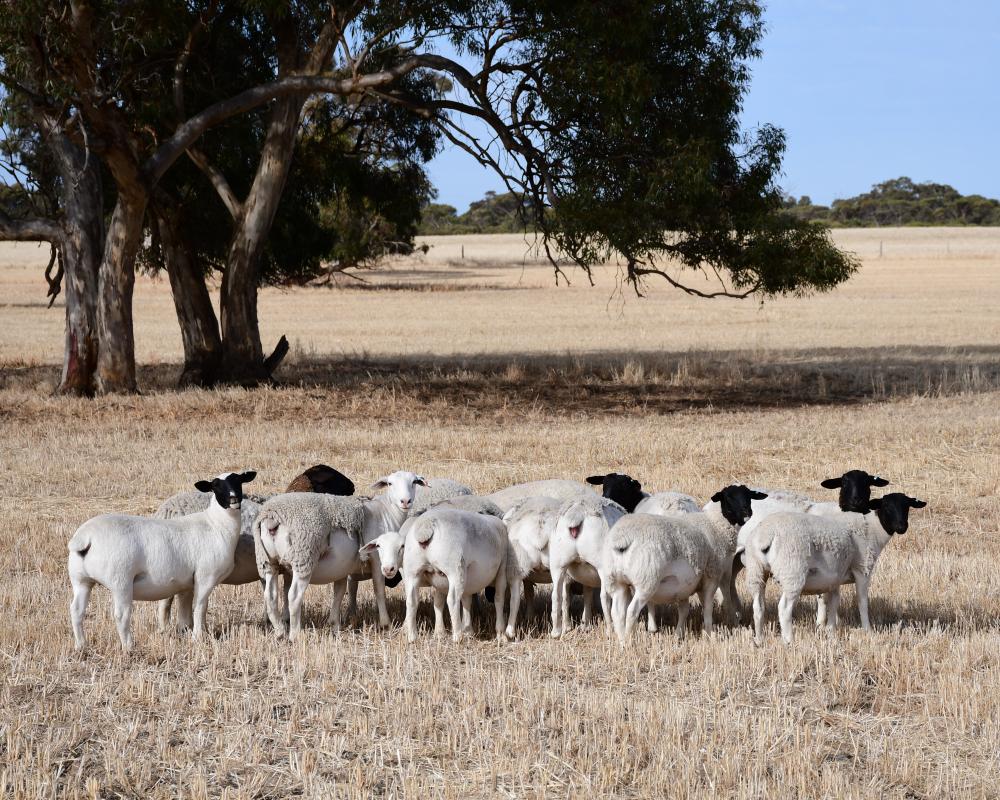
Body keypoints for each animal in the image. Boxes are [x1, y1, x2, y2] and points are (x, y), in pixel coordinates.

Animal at [67, 471, 257, 651]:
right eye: (216, 486)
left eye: (238, 481)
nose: (233, 499)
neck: (216, 524)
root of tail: (85, 538)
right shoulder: (205, 577)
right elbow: (200, 608)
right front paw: (197, 638)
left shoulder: (186, 583)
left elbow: (185, 611)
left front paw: (186, 633)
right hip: (120, 581)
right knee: (121, 615)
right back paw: (128, 647)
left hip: (81, 579)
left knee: (76, 611)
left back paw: (81, 646)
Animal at [254, 471, 426, 639]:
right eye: (390, 483)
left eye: (414, 482)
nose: (405, 501)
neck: (387, 512)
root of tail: (272, 517)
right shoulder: (377, 559)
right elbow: (379, 589)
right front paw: (385, 623)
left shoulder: (341, 566)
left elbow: (340, 591)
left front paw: (335, 623)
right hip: (303, 558)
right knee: (294, 597)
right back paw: (295, 635)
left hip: (268, 561)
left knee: (270, 597)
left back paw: (280, 632)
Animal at [360, 507, 509, 642]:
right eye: (378, 546)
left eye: (401, 546)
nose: (388, 569)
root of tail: (426, 526)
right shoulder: (500, 568)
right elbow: (497, 599)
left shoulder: (440, 580)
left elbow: (442, 602)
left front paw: (442, 632)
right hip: (455, 569)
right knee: (453, 599)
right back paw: (458, 636)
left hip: (417, 570)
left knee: (412, 600)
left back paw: (412, 637)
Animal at [548, 493, 628, 637]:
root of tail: (577, 514)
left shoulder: (586, 577)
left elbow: (587, 595)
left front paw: (586, 624)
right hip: (602, 566)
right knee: (604, 597)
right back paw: (609, 630)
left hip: (558, 563)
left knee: (557, 595)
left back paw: (556, 632)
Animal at [744, 492, 926, 644]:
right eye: (887, 506)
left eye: (907, 506)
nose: (902, 527)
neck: (872, 529)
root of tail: (766, 535)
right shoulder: (862, 569)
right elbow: (862, 601)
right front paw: (868, 630)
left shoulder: (834, 576)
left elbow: (831, 601)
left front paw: (829, 629)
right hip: (792, 572)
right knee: (784, 608)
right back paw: (789, 641)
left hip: (756, 571)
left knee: (758, 607)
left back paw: (759, 640)